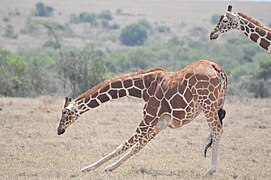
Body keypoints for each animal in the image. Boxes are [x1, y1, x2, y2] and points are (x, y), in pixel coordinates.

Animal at [58, 59, 230, 175]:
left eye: (64, 112)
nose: (59, 130)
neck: (144, 87)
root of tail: (219, 70)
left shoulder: (149, 118)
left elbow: (125, 144)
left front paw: (89, 167)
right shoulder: (160, 123)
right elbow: (138, 146)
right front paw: (110, 167)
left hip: (208, 105)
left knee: (216, 130)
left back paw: (210, 170)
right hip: (216, 105)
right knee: (217, 130)